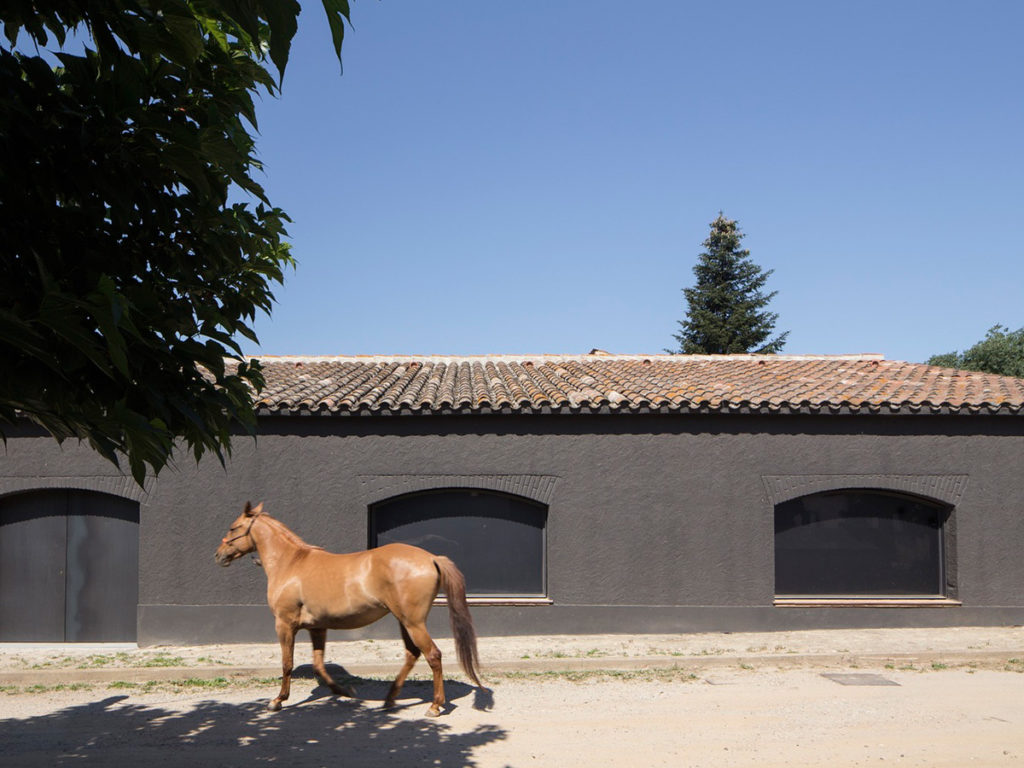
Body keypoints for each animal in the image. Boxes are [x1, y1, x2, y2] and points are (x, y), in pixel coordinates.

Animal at [212, 501, 483, 720]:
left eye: (233, 528)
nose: (218, 555)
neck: (290, 564)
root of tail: (431, 558)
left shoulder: (285, 624)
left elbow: (287, 663)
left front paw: (277, 700)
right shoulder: (317, 627)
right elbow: (319, 665)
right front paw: (344, 691)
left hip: (412, 622)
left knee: (433, 655)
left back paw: (435, 706)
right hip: (403, 620)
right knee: (412, 654)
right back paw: (389, 699)